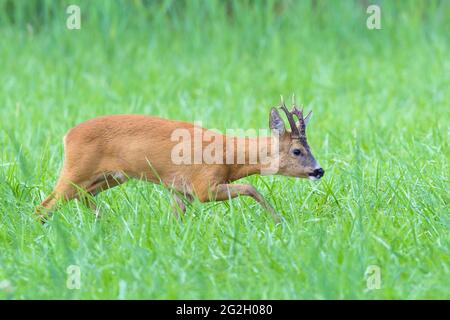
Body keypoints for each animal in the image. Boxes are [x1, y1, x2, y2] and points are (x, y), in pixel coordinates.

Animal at [36, 96, 324, 224]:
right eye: (297, 151)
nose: (319, 170)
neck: (230, 158)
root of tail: (67, 135)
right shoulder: (204, 185)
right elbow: (251, 187)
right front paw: (279, 220)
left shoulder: (180, 190)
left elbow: (176, 217)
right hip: (76, 168)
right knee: (46, 204)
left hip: (111, 176)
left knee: (82, 196)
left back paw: (107, 222)